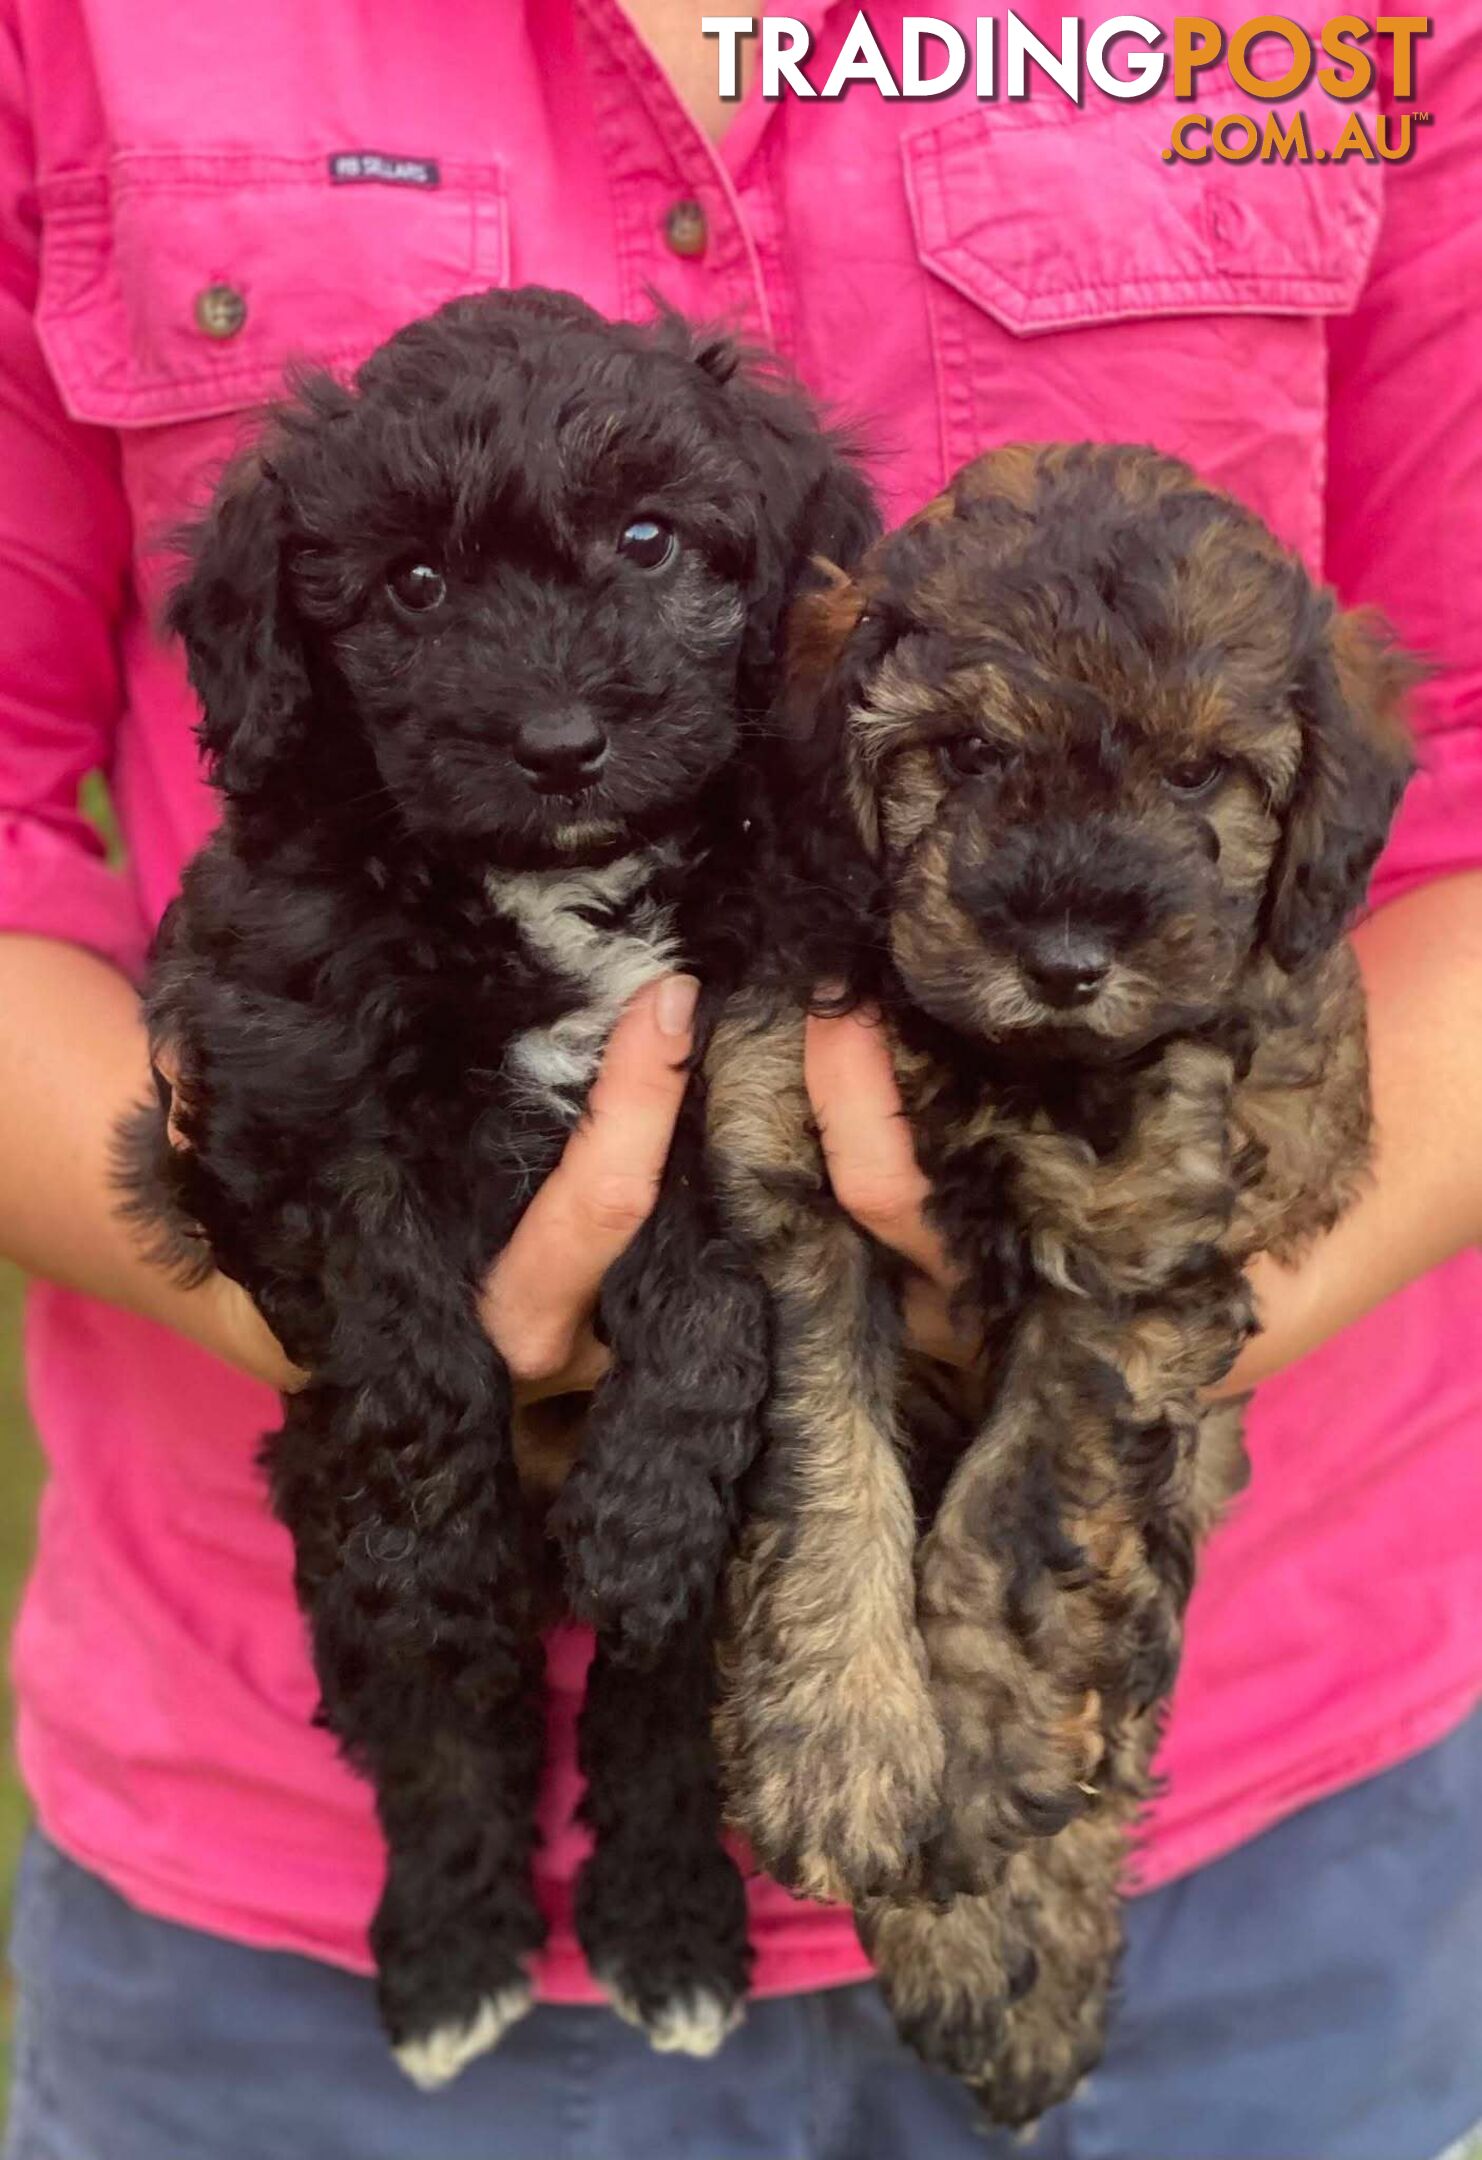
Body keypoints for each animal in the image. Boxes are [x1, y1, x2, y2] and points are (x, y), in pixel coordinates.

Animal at [118, 295, 881, 2082]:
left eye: (649, 541)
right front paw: (433, 1540)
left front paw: (647, 1506)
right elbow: (396, 1336)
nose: (557, 744)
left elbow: (710, 1287)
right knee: (436, 1735)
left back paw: (665, 1930)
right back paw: (457, 1957)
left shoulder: (741, 1052)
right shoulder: (292, 1087)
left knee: (653, 1724)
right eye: (411, 587)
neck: (542, 891)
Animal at [712, 442, 1425, 2125]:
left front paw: (968, 1767)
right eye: (967, 754)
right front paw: (841, 1745)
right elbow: (831, 1472)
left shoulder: (1125, 1269)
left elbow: (1014, 1528)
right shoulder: (788, 1172)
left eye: (1194, 777)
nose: (1062, 956)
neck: (1000, 1063)